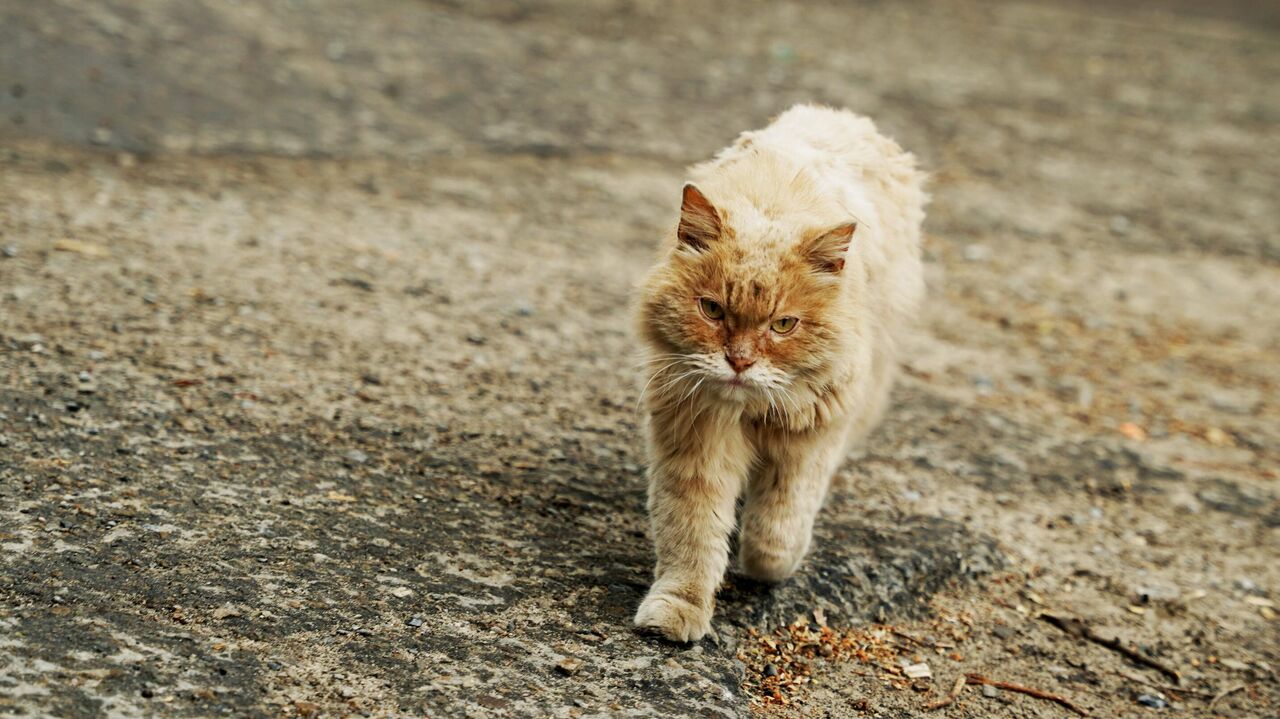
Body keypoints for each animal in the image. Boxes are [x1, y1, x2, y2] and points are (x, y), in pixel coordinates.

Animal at [634, 104, 926, 637]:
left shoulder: (811, 436)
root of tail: (844, 116)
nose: (740, 361)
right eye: (712, 310)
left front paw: (764, 566)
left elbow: (779, 527)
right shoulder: (696, 440)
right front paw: (677, 612)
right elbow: (691, 538)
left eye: (783, 324)